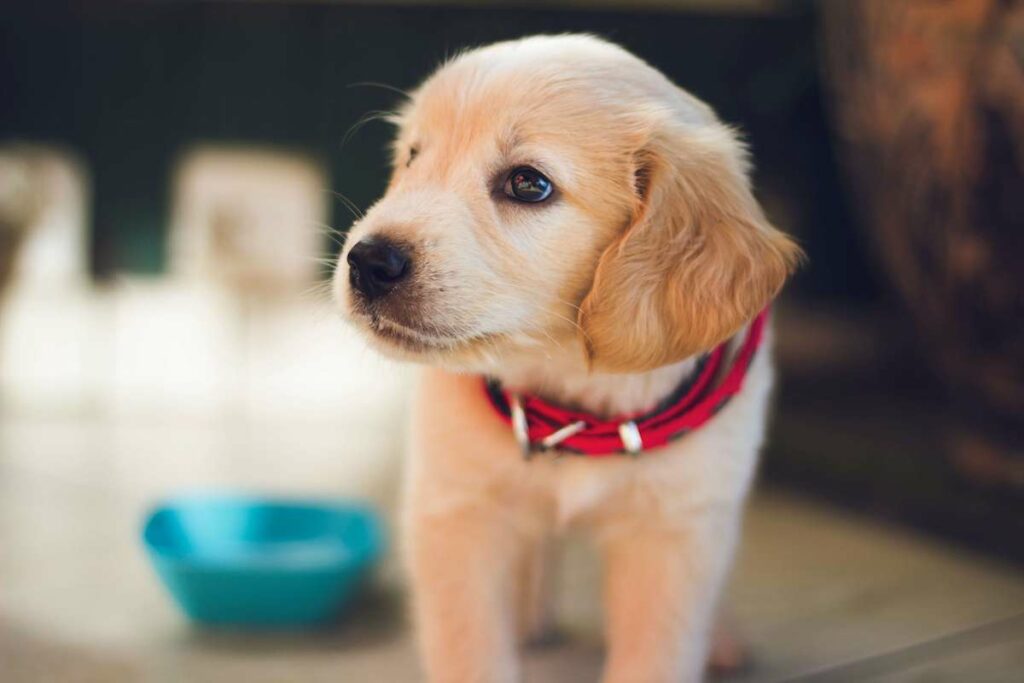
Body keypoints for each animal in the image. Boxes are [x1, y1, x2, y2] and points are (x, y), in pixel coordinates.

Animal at [333, 33, 798, 683]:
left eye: (528, 184)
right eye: (412, 158)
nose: (367, 262)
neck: (571, 393)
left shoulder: (675, 532)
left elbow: (657, 653)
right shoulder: (456, 512)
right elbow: (469, 647)